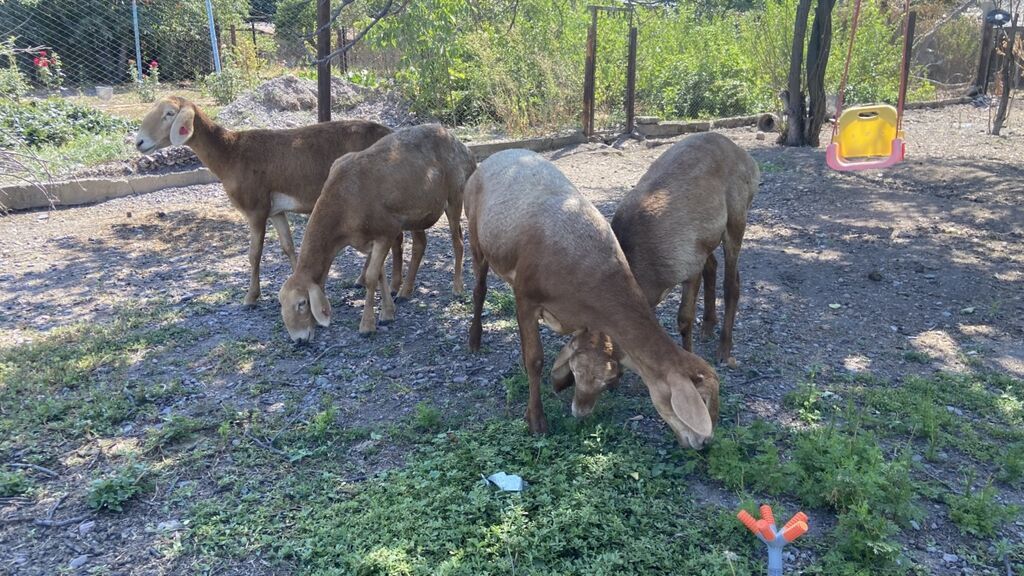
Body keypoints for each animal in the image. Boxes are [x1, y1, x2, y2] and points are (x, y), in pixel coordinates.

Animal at [134, 96, 399, 308]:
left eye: (169, 113)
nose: (139, 142)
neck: (230, 153)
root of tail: (389, 133)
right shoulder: (275, 212)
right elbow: (288, 247)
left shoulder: (256, 209)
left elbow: (254, 253)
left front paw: (251, 297)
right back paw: (364, 280)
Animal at [278, 124, 475, 343]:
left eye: (302, 303)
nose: (299, 341)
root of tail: (463, 147)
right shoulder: (370, 239)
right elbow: (380, 274)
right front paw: (388, 311)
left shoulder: (386, 232)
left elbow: (372, 277)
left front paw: (367, 325)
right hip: (419, 212)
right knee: (420, 245)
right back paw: (405, 291)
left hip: (455, 197)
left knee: (458, 242)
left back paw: (457, 288)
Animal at [465, 149, 719, 450]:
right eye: (700, 401)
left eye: (607, 381)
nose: (703, 443)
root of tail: (496, 156)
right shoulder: (525, 295)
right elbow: (535, 359)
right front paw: (536, 420)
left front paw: (560, 382)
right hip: (476, 235)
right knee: (479, 288)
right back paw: (474, 340)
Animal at [554, 132, 758, 416]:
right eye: (574, 370)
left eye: (605, 378)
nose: (579, 411)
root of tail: (745, 155)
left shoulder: (688, 266)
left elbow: (684, 318)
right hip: (710, 238)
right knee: (714, 266)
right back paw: (708, 325)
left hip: (737, 219)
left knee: (732, 281)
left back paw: (724, 348)